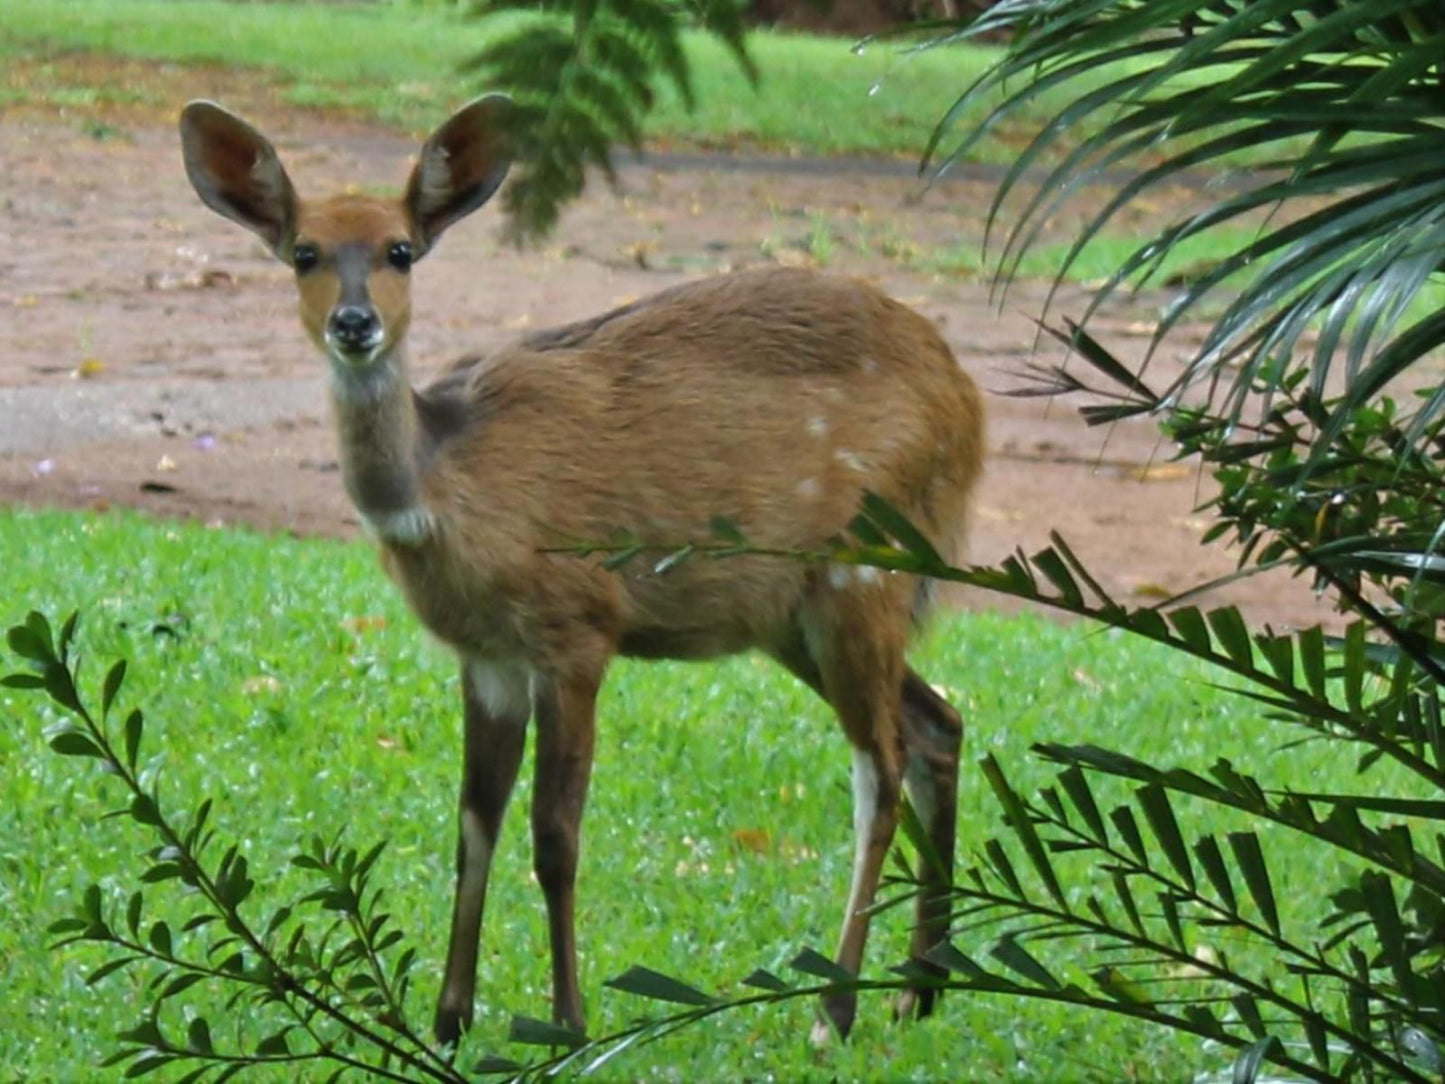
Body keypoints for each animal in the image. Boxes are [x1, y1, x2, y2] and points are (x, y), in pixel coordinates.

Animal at [177, 95, 982, 1052]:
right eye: (304, 251)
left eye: (399, 249)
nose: (355, 324)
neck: (450, 487)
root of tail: (967, 404)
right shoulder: (487, 657)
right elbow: (473, 821)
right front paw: (448, 1021)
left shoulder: (576, 631)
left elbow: (554, 833)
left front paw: (567, 1025)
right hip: (795, 617)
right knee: (938, 723)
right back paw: (917, 993)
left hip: (859, 577)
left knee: (879, 771)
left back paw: (835, 1011)